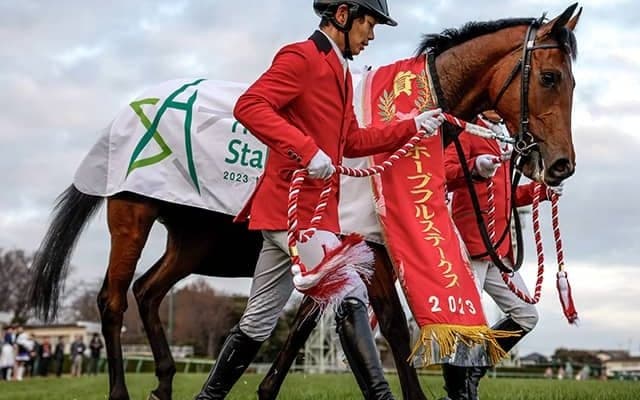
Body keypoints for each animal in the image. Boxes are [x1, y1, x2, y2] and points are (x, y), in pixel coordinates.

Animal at [29, 4, 581, 400]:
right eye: (550, 77)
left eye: (574, 80)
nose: (560, 166)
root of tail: (127, 113)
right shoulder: (370, 246)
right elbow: (392, 328)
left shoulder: (340, 249)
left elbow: (305, 323)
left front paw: (266, 389)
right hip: (132, 215)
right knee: (113, 298)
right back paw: (122, 390)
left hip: (194, 240)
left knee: (148, 291)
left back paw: (164, 382)